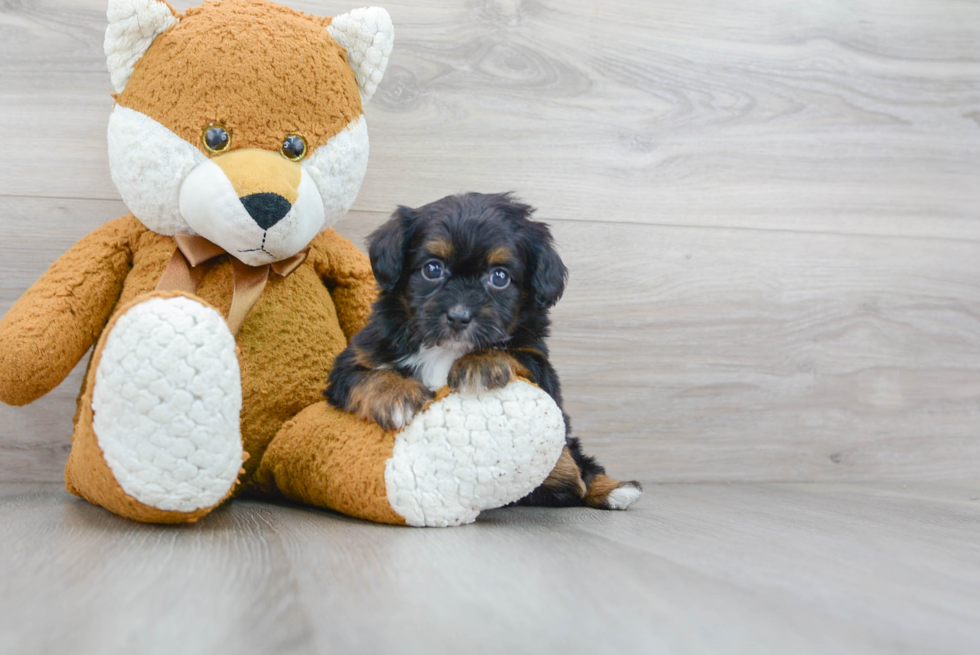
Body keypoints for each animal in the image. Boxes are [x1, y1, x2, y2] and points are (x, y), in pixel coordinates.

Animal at [326, 192, 640, 510]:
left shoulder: (541, 365)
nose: (458, 317)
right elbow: (364, 374)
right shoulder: (358, 356)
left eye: (499, 277)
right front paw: (396, 395)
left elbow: (514, 353)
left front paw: (481, 362)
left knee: (580, 466)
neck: (445, 350)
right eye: (432, 269)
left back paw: (614, 490)